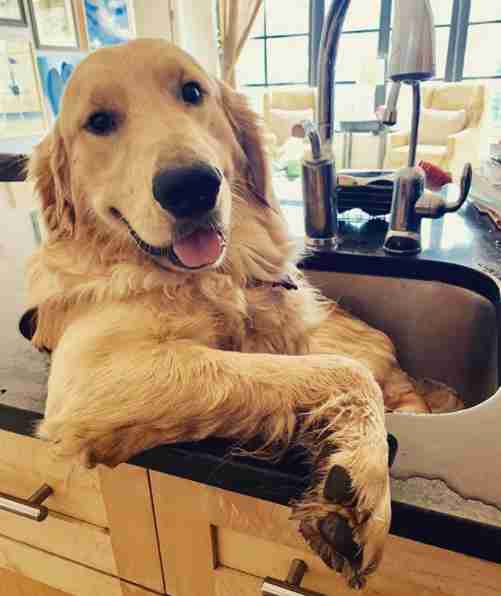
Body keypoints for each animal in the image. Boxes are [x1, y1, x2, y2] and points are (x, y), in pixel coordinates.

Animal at [24, 39, 460, 588]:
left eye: (192, 92)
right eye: (99, 121)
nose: (190, 185)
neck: (212, 275)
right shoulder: (92, 376)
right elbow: (340, 373)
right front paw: (364, 477)